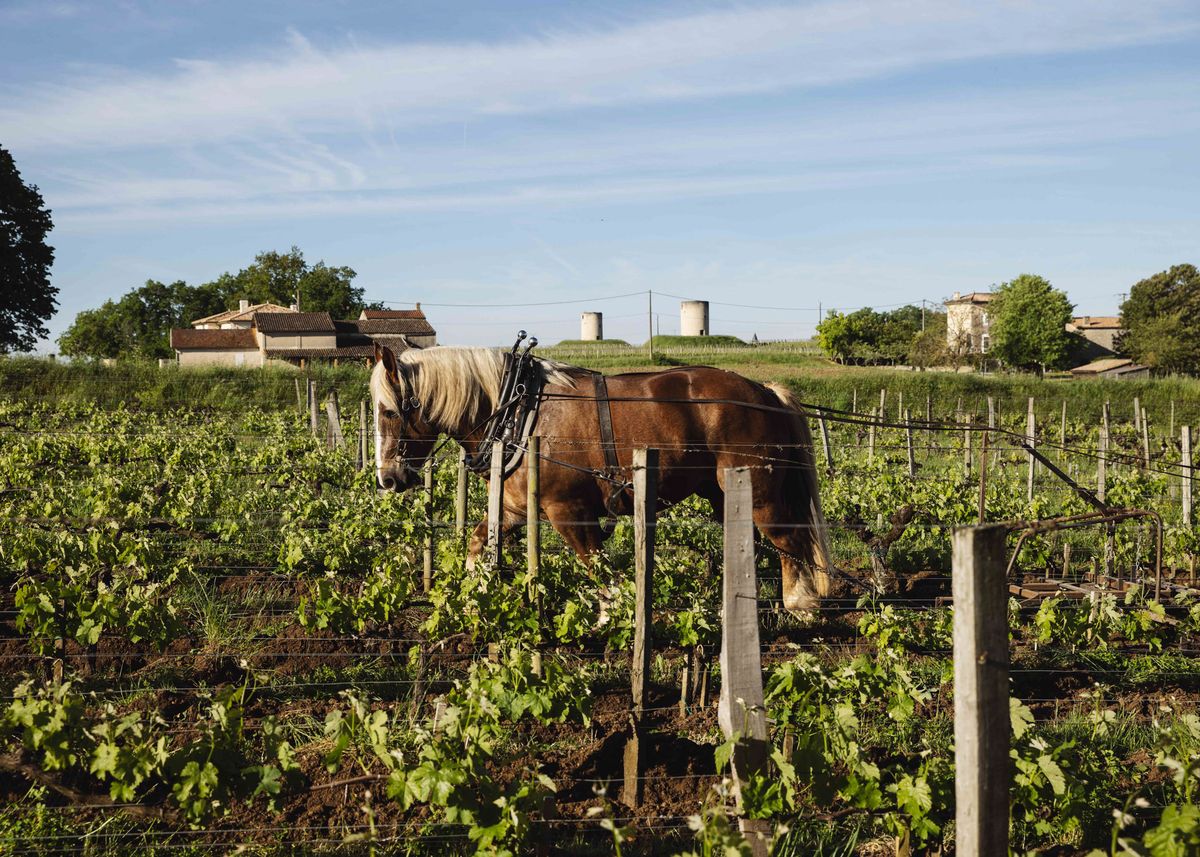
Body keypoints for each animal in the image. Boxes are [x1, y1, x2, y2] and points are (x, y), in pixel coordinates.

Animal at [370, 344, 833, 610]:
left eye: (389, 411)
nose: (387, 480)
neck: (517, 412)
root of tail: (765, 392)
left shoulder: (569, 510)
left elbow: (599, 571)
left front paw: (613, 618)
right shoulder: (513, 510)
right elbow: (476, 544)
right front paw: (474, 600)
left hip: (761, 494)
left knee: (789, 541)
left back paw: (798, 603)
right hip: (725, 495)